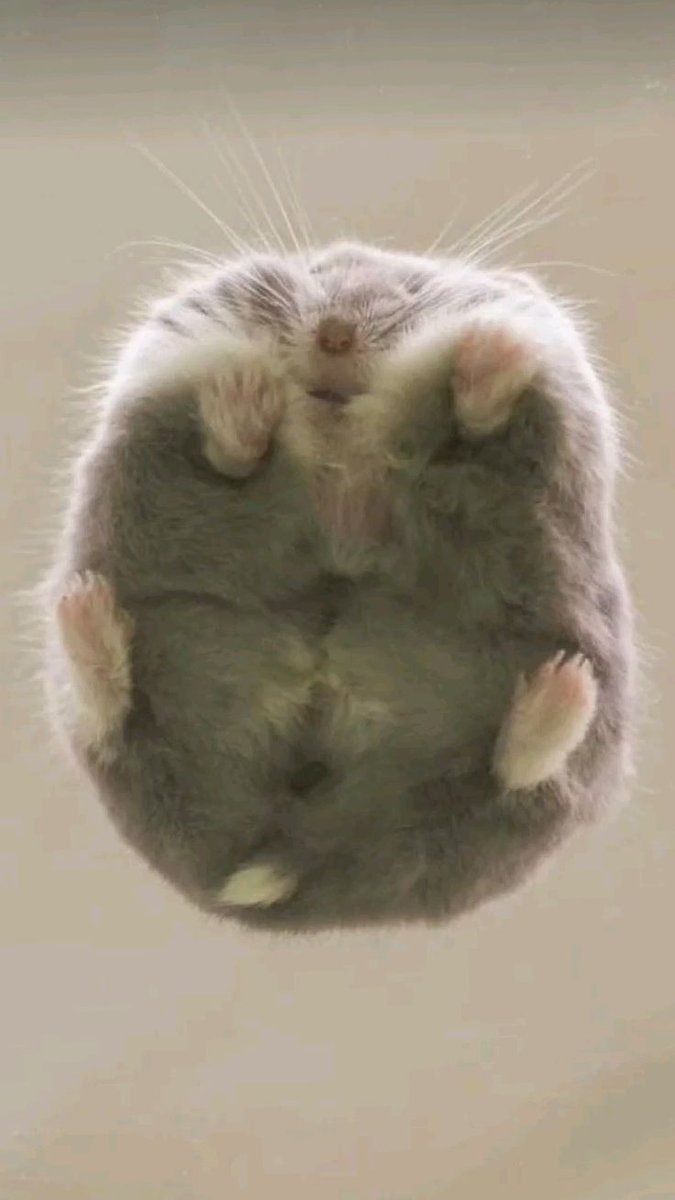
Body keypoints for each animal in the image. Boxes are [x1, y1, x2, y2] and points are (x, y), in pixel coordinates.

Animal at [43, 240, 635, 931]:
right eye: (319, 277)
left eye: (408, 292)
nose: (335, 335)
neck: (338, 421)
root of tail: (293, 853)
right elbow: (231, 454)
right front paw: (241, 394)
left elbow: (479, 420)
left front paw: (495, 350)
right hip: (145, 645)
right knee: (112, 715)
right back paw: (88, 604)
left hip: (570, 732)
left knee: (519, 771)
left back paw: (561, 686)